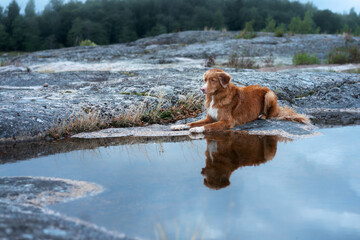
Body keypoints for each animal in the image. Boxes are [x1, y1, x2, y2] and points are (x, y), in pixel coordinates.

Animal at [172, 68, 310, 134]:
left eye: (213, 80)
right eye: (205, 80)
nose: (202, 89)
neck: (215, 97)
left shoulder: (227, 121)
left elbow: (207, 126)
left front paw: (196, 130)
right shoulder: (209, 117)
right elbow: (192, 123)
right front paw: (179, 126)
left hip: (269, 95)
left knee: (270, 114)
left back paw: (262, 116)